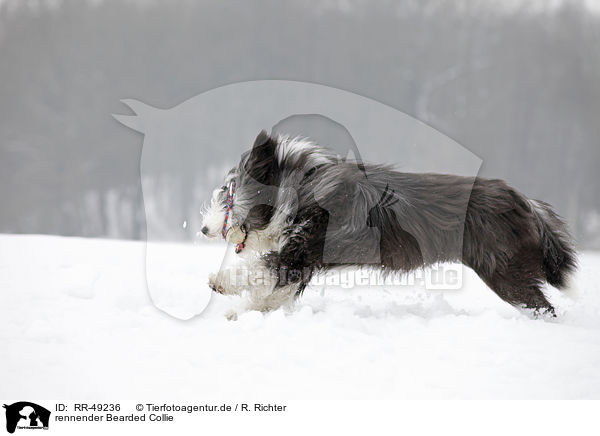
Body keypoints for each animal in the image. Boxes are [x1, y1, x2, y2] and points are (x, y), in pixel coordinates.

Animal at [202, 130, 576, 316]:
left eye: (228, 191)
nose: (205, 229)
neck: (301, 188)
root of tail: (525, 201)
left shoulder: (304, 248)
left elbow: (263, 268)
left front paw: (223, 284)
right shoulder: (304, 260)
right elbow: (278, 290)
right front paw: (250, 310)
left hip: (504, 271)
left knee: (541, 305)